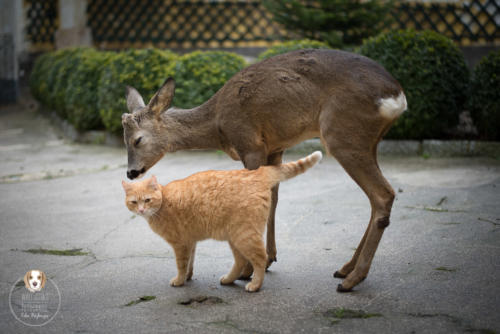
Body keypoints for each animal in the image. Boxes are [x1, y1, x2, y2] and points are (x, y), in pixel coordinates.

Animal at [123, 151, 322, 292]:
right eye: (134, 202)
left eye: (147, 200)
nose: (141, 210)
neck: (163, 201)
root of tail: (258, 172)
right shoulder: (190, 241)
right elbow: (189, 263)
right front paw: (187, 277)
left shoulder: (180, 244)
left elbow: (181, 264)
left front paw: (179, 280)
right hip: (235, 237)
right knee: (241, 261)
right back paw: (228, 279)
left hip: (244, 236)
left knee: (260, 258)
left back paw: (255, 285)